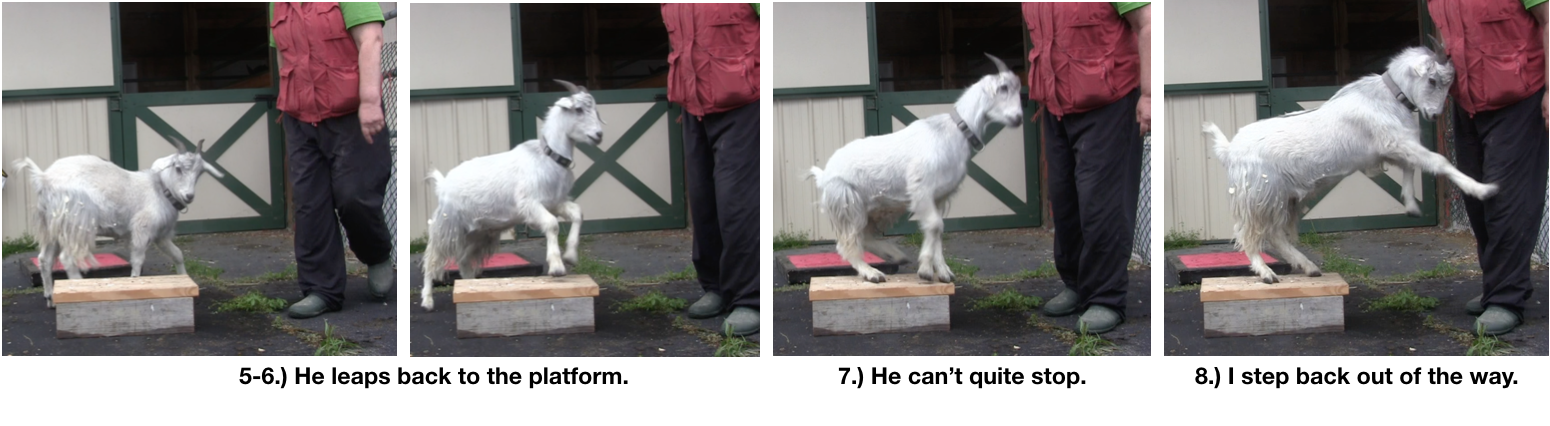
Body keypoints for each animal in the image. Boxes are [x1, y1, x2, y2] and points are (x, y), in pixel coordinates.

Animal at [14, 140, 224, 307]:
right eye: (178, 167)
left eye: (200, 172)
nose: (189, 196)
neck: (160, 189)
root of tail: (43, 178)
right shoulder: (142, 229)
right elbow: (138, 260)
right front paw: (135, 283)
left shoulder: (161, 236)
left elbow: (178, 255)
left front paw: (183, 279)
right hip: (76, 223)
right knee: (68, 258)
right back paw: (79, 289)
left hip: (53, 227)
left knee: (44, 259)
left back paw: (50, 298)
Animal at [418, 80, 604, 311]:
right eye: (578, 109)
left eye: (595, 109)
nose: (599, 135)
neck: (547, 156)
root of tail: (443, 184)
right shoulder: (530, 205)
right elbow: (552, 224)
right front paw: (557, 266)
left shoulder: (555, 202)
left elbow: (578, 213)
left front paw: (570, 255)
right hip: (447, 226)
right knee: (431, 258)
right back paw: (427, 300)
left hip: (479, 233)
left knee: (463, 260)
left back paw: (470, 286)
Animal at [810, 53, 1024, 283]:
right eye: (1003, 87)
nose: (1018, 118)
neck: (954, 130)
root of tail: (824, 175)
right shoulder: (921, 188)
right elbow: (934, 225)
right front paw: (925, 269)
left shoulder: (939, 197)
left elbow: (938, 229)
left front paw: (943, 271)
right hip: (849, 205)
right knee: (847, 244)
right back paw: (872, 273)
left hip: (871, 209)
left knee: (865, 238)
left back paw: (895, 254)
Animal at [1204, 45, 1498, 284]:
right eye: (1433, 79)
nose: (1435, 114)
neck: (1388, 97)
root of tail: (1229, 150)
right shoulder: (1395, 142)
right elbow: (1439, 161)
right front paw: (1482, 189)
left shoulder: (1391, 148)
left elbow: (1410, 168)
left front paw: (1412, 205)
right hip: (1259, 195)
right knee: (1249, 233)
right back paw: (1266, 272)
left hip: (1286, 198)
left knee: (1276, 234)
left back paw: (1308, 267)